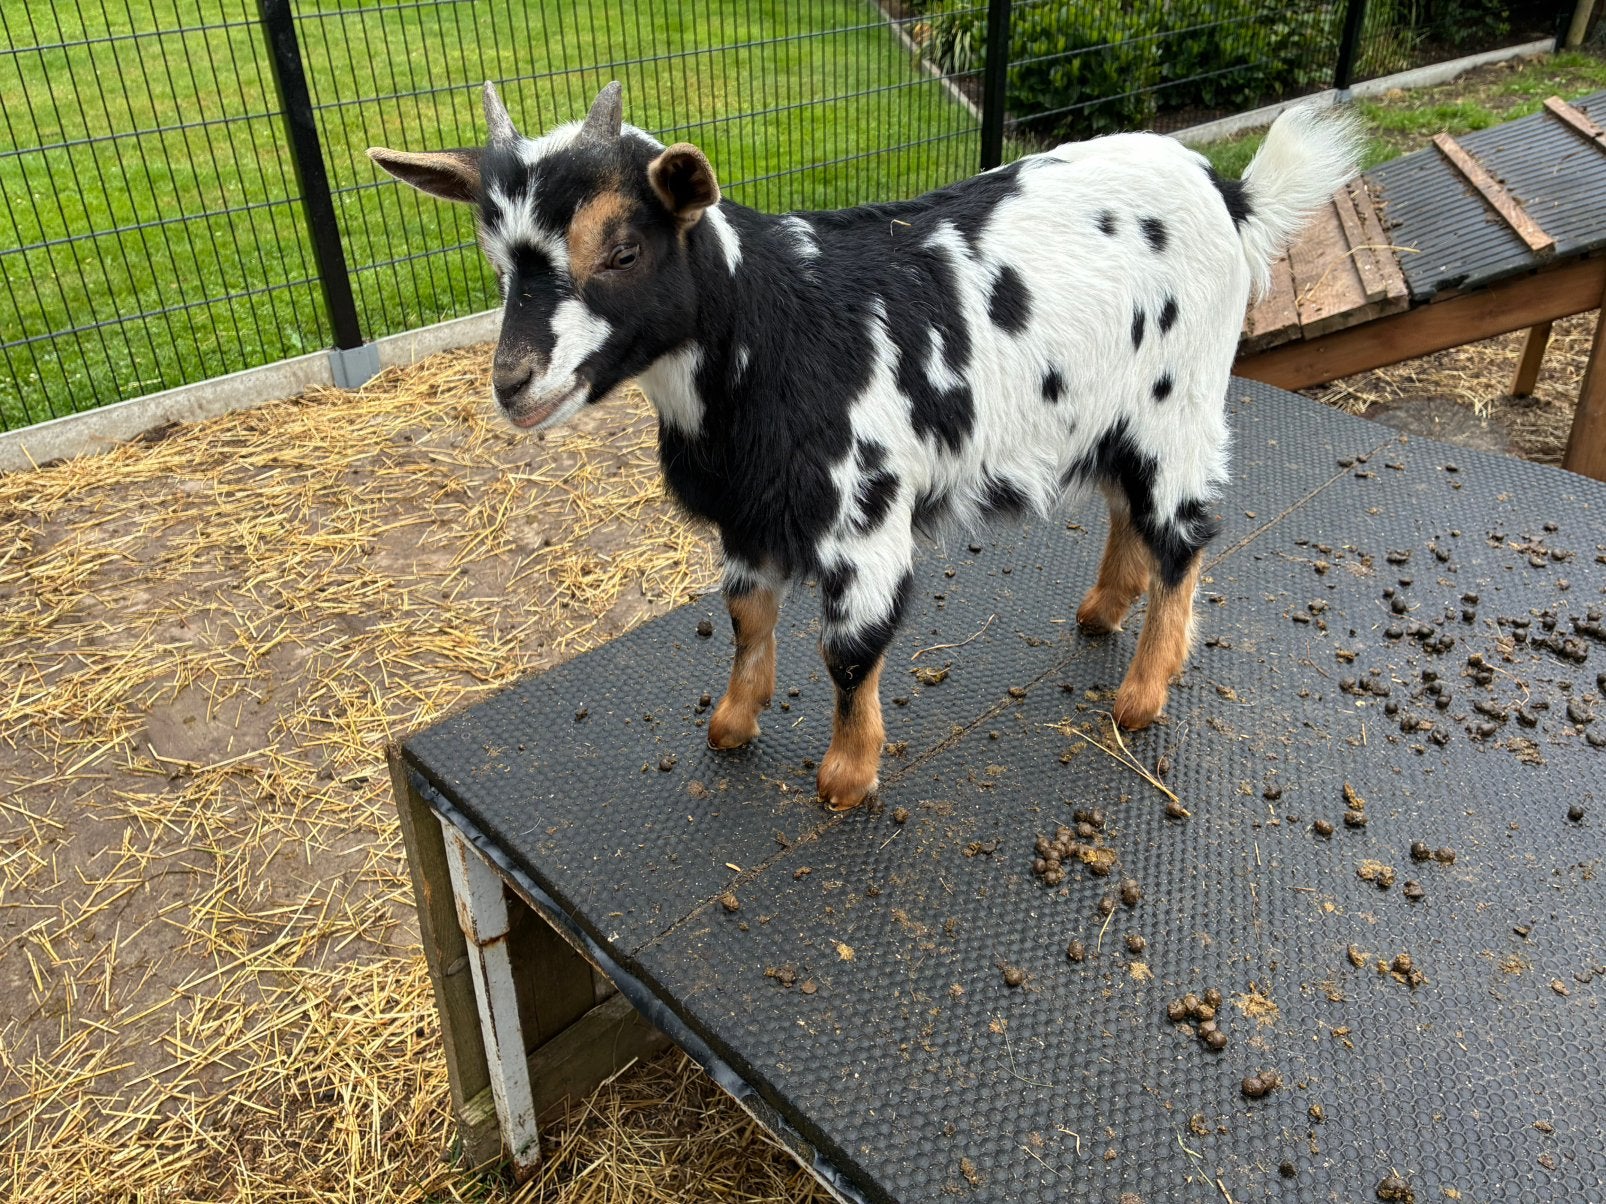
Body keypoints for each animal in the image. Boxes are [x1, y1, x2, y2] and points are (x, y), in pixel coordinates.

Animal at [370, 83, 1360, 811]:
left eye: (622, 248)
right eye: (497, 258)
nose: (514, 382)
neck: (771, 330)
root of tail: (1229, 192)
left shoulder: (862, 517)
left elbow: (850, 651)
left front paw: (847, 776)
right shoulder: (749, 516)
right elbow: (747, 618)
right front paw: (732, 724)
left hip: (1179, 403)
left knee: (1184, 536)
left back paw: (1144, 693)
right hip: (1115, 409)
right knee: (1127, 507)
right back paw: (1101, 611)